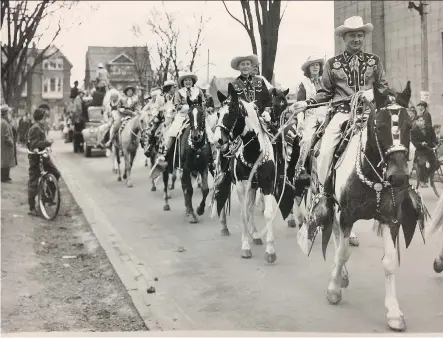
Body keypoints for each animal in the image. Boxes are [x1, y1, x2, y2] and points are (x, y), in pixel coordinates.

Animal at [214, 85, 286, 264]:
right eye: (218, 113)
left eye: (232, 111)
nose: (218, 140)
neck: (253, 153)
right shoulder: (241, 186)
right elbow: (243, 214)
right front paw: (245, 246)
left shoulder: (266, 184)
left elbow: (267, 213)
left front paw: (270, 250)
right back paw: (226, 227)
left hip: (253, 186)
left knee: (251, 207)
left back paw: (255, 234)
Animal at [298, 82, 426, 332]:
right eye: (379, 125)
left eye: (409, 125)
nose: (399, 176)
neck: (372, 175)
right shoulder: (346, 215)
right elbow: (343, 253)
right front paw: (334, 290)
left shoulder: (390, 218)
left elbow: (388, 262)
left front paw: (394, 312)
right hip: (330, 201)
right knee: (336, 237)